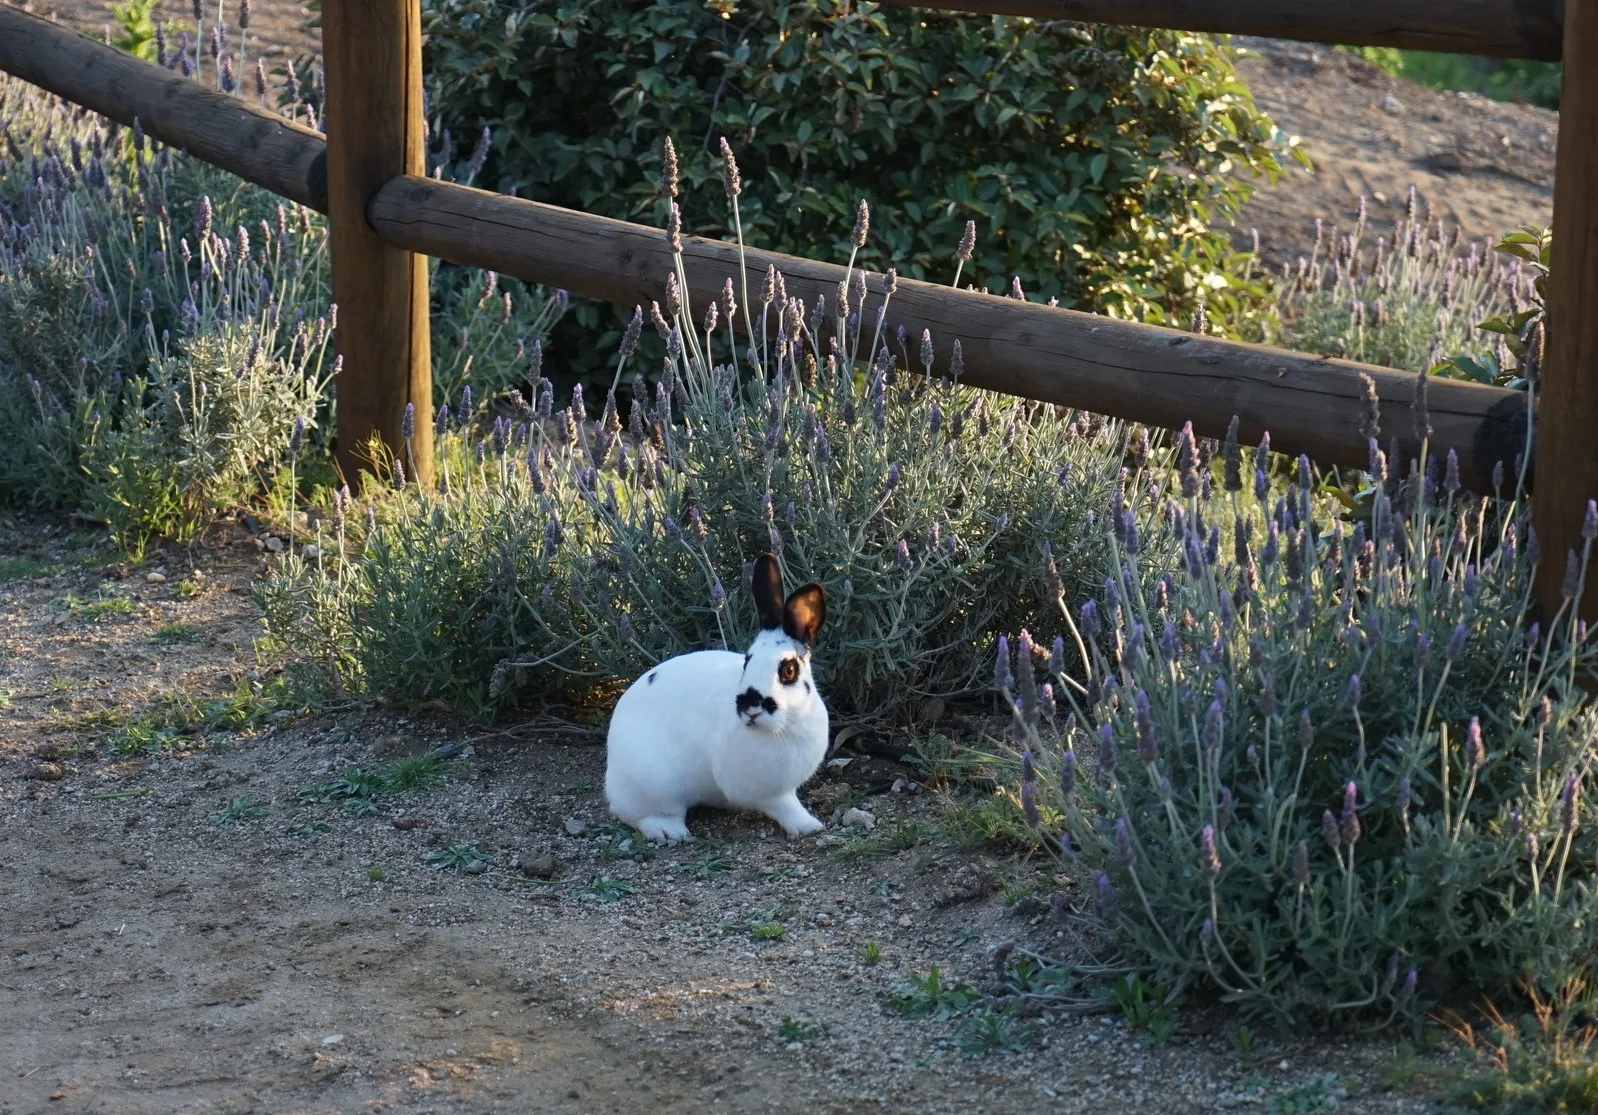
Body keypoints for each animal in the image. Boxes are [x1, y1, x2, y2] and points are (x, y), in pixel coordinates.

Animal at [604, 553, 829, 843]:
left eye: (788, 671)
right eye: (747, 661)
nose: (749, 707)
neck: (785, 725)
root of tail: (612, 770)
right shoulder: (768, 792)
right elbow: (784, 806)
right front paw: (808, 825)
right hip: (656, 785)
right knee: (639, 814)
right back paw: (670, 831)